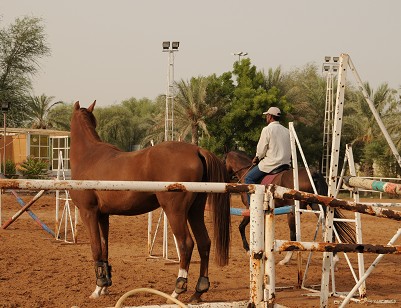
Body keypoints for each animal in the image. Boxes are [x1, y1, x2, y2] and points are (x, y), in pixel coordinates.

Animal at [70, 101, 230, 304]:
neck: (89, 156)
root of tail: (196, 150)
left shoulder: (88, 212)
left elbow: (96, 248)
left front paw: (98, 288)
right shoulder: (103, 215)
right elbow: (105, 247)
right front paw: (105, 285)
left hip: (175, 211)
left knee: (186, 244)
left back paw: (177, 291)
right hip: (195, 211)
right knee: (204, 243)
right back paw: (198, 292)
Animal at [223, 150, 354, 264]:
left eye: (223, 160)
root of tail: (313, 173)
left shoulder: (250, 209)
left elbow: (241, 227)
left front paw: (248, 249)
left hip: (293, 213)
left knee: (293, 235)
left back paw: (286, 259)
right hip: (317, 206)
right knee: (330, 226)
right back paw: (334, 257)